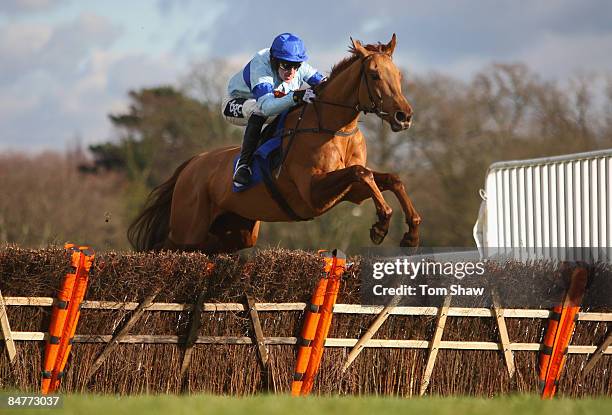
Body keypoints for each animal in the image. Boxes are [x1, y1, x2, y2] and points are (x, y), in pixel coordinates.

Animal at [128, 34, 420, 254]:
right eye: (374, 75)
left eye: (398, 75)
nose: (403, 116)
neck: (336, 129)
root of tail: (191, 164)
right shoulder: (313, 192)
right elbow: (362, 172)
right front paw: (382, 224)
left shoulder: (350, 192)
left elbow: (388, 178)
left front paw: (411, 232)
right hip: (187, 230)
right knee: (163, 246)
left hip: (234, 232)